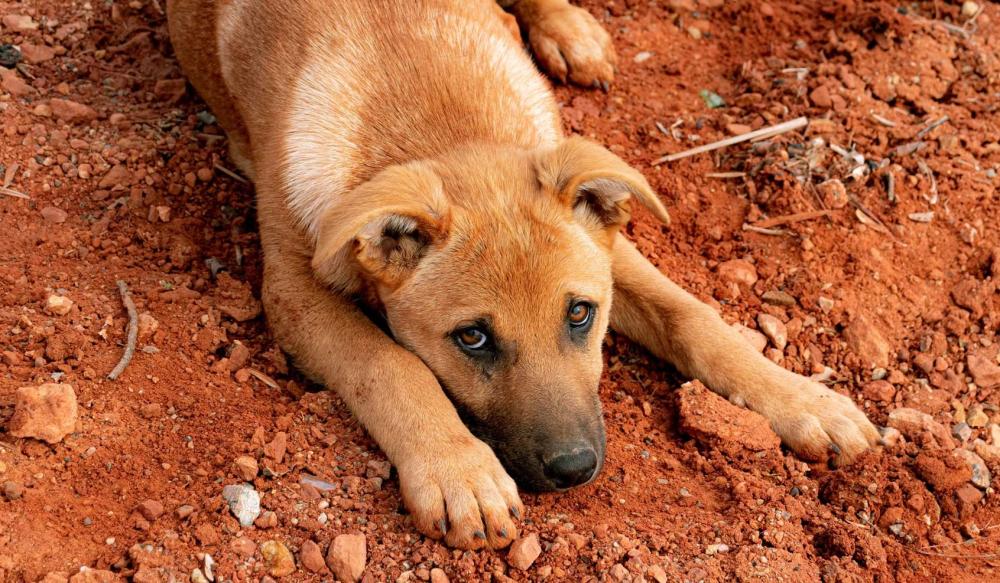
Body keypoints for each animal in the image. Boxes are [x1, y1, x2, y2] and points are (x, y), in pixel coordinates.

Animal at [164, 0, 876, 548]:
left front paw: (804, 401)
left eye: (581, 314)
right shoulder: (292, 290)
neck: (436, 119)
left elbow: (694, 317)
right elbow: (391, 365)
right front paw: (458, 472)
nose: (575, 470)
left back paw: (571, 32)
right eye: (472, 338)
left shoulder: (609, 251)